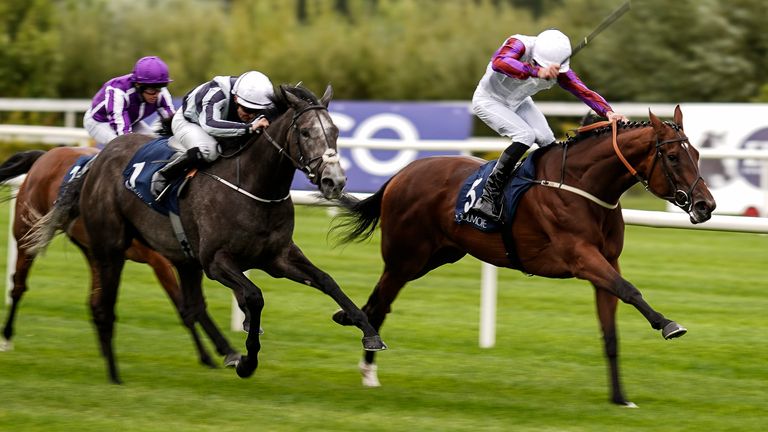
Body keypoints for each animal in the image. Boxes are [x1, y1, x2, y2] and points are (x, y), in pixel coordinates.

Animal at [0, 147, 238, 366]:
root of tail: (45, 155)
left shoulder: (184, 260)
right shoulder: (159, 261)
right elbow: (184, 307)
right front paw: (213, 354)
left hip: (93, 251)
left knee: (95, 301)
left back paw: (105, 350)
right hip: (27, 234)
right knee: (18, 285)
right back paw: (7, 336)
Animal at [27, 83, 388, 382]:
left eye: (336, 131)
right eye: (305, 131)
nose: (334, 181)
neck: (253, 185)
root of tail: (98, 158)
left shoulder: (279, 257)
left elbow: (328, 281)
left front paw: (369, 331)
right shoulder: (216, 262)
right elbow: (254, 296)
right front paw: (247, 361)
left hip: (181, 258)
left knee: (189, 306)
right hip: (110, 249)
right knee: (104, 305)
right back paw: (114, 375)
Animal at [332, 106, 716, 406]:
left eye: (697, 155)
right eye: (672, 157)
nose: (706, 205)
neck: (583, 184)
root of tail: (401, 173)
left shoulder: (607, 262)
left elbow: (611, 329)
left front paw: (621, 398)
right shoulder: (581, 257)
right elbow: (631, 290)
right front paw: (668, 324)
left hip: (438, 255)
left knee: (376, 302)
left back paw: (349, 322)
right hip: (406, 257)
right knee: (380, 304)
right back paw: (368, 368)